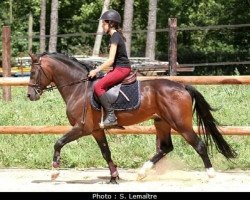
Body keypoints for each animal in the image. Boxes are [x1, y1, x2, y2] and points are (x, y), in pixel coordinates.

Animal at [27, 52, 236, 183]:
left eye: (33, 72)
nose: (30, 95)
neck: (78, 88)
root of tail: (182, 86)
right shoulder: (96, 130)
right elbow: (106, 153)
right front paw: (114, 177)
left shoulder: (82, 128)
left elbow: (58, 142)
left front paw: (55, 172)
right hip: (162, 122)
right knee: (166, 147)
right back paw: (142, 173)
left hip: (181, 124)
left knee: (199, 145)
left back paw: (211, 175)